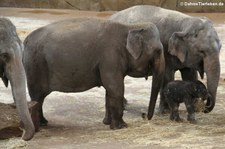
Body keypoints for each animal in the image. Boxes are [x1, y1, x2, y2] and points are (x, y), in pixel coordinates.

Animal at [22, 18, 164, 130]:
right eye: (158, 51)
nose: (144, 116)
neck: (130, 26)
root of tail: (25, 40)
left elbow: (109, 90)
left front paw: (107, 123)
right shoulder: (110, 57)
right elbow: (116, 88)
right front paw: (121, 126)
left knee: (39, 98)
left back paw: (44, 123)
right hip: (35, 66)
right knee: (37, 96)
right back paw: (40, 125)